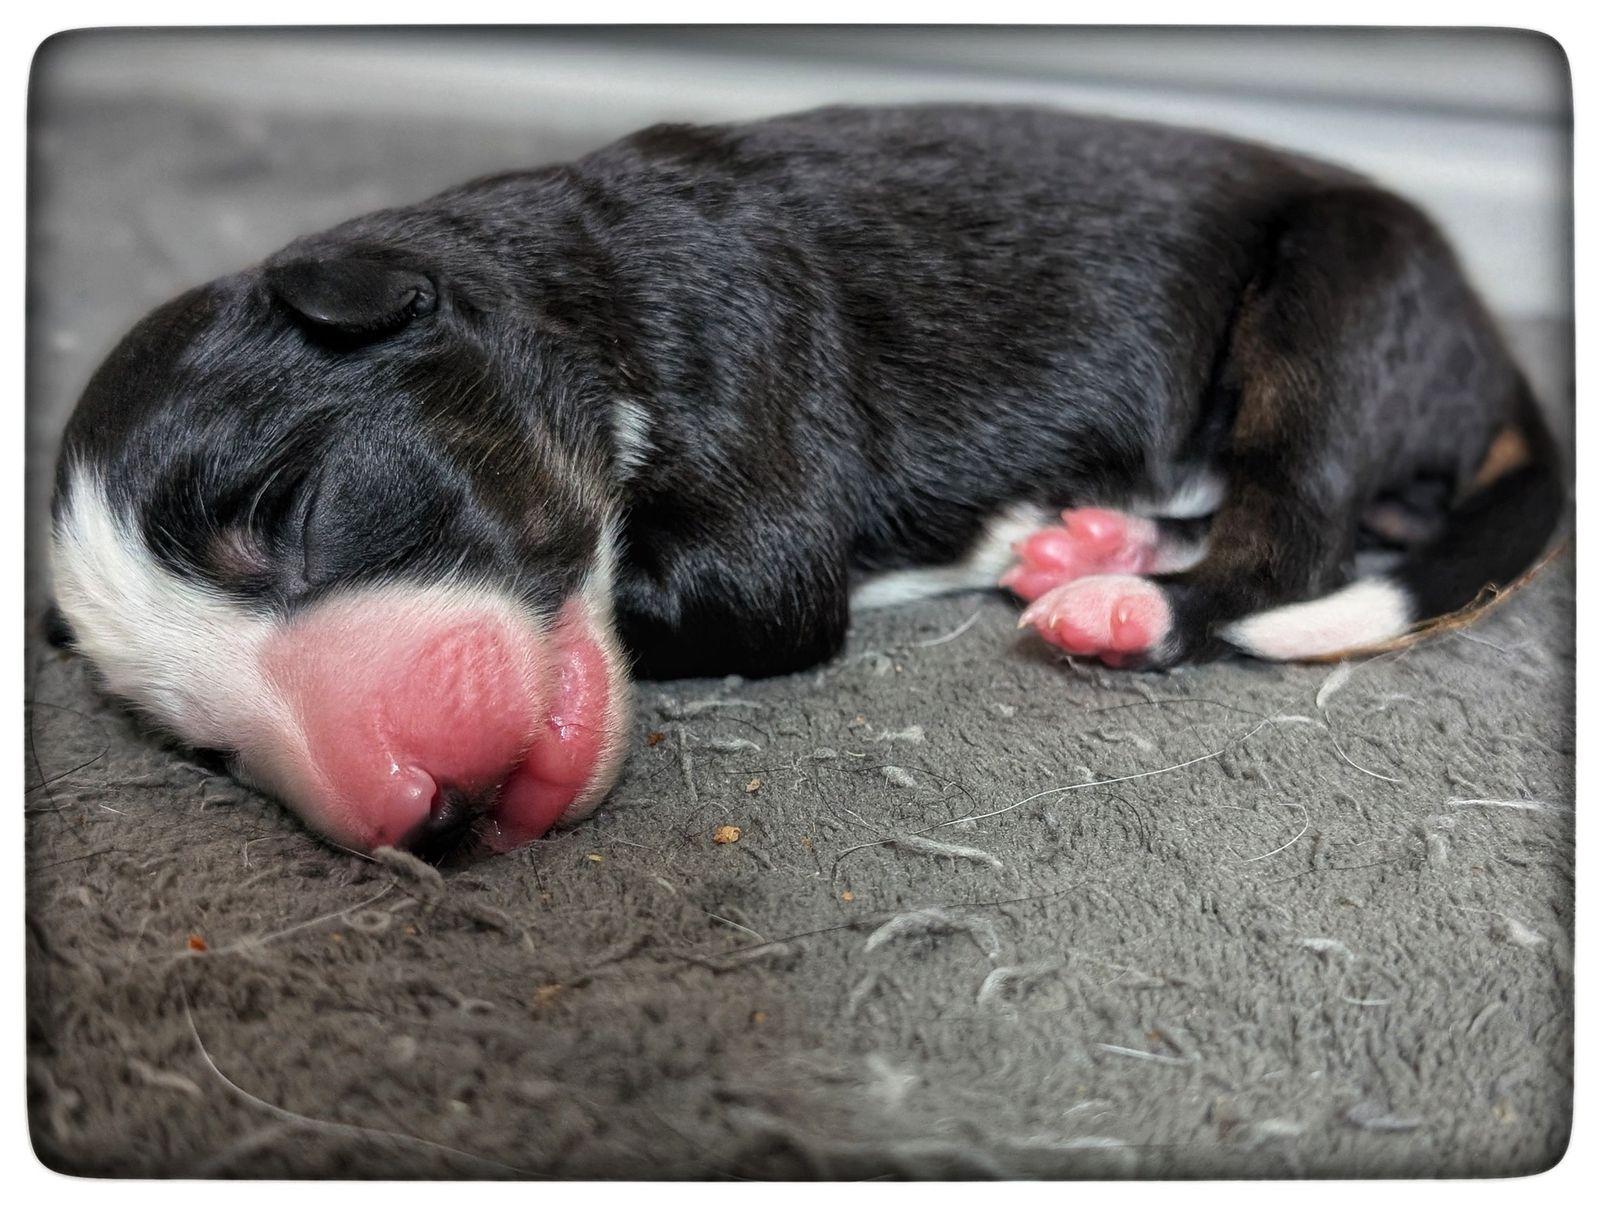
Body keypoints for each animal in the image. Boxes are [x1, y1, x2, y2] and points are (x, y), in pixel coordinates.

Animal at [46, 104, 1563, 859]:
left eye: (281, 510)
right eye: (203, 748)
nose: (405, 809)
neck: (564, 290)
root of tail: (1491, 349)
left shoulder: (748, 431)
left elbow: (713, 583)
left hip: (1332, 295)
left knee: (1291, 535)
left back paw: (1123, 607)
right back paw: (1093, 543)